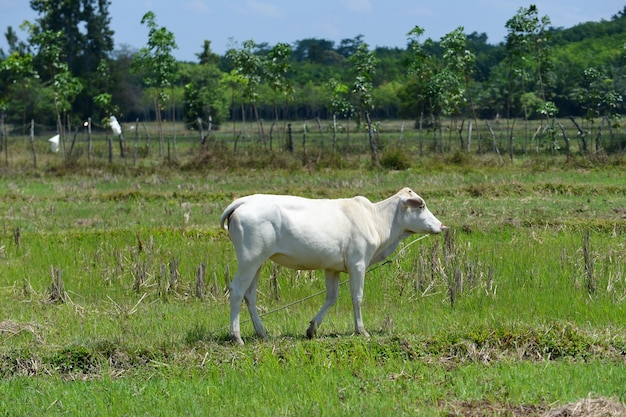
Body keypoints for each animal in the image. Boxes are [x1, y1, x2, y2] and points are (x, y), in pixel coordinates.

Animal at [219, 187, 444, 342]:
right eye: (421, 205)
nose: (442, 226)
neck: (375, 219)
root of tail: (244, 201)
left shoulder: (332, 268)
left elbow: (331, 297)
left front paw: (312, 328)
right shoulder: (358, 263)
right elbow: (357, 297)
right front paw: (361, 330)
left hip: (257, 262)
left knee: (250, 295)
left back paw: (262, 332)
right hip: (249, 260)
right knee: (237, 290)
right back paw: (236, 336)